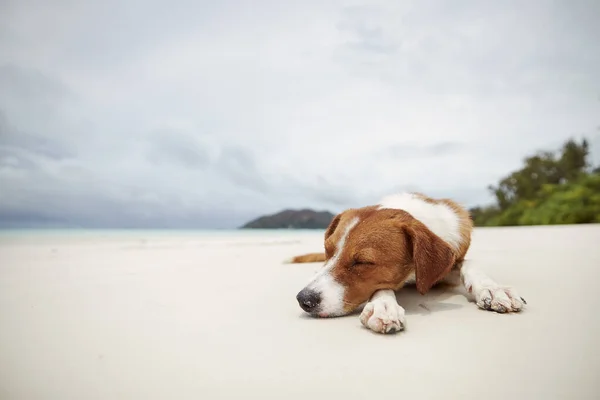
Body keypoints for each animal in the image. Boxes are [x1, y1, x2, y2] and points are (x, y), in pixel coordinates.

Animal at [286, 192, 524, 332]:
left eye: (362, 262)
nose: (303, 299)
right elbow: (382, 287)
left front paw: (493, 289)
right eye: (328, 250)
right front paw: (383, 306)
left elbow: (470, 263)